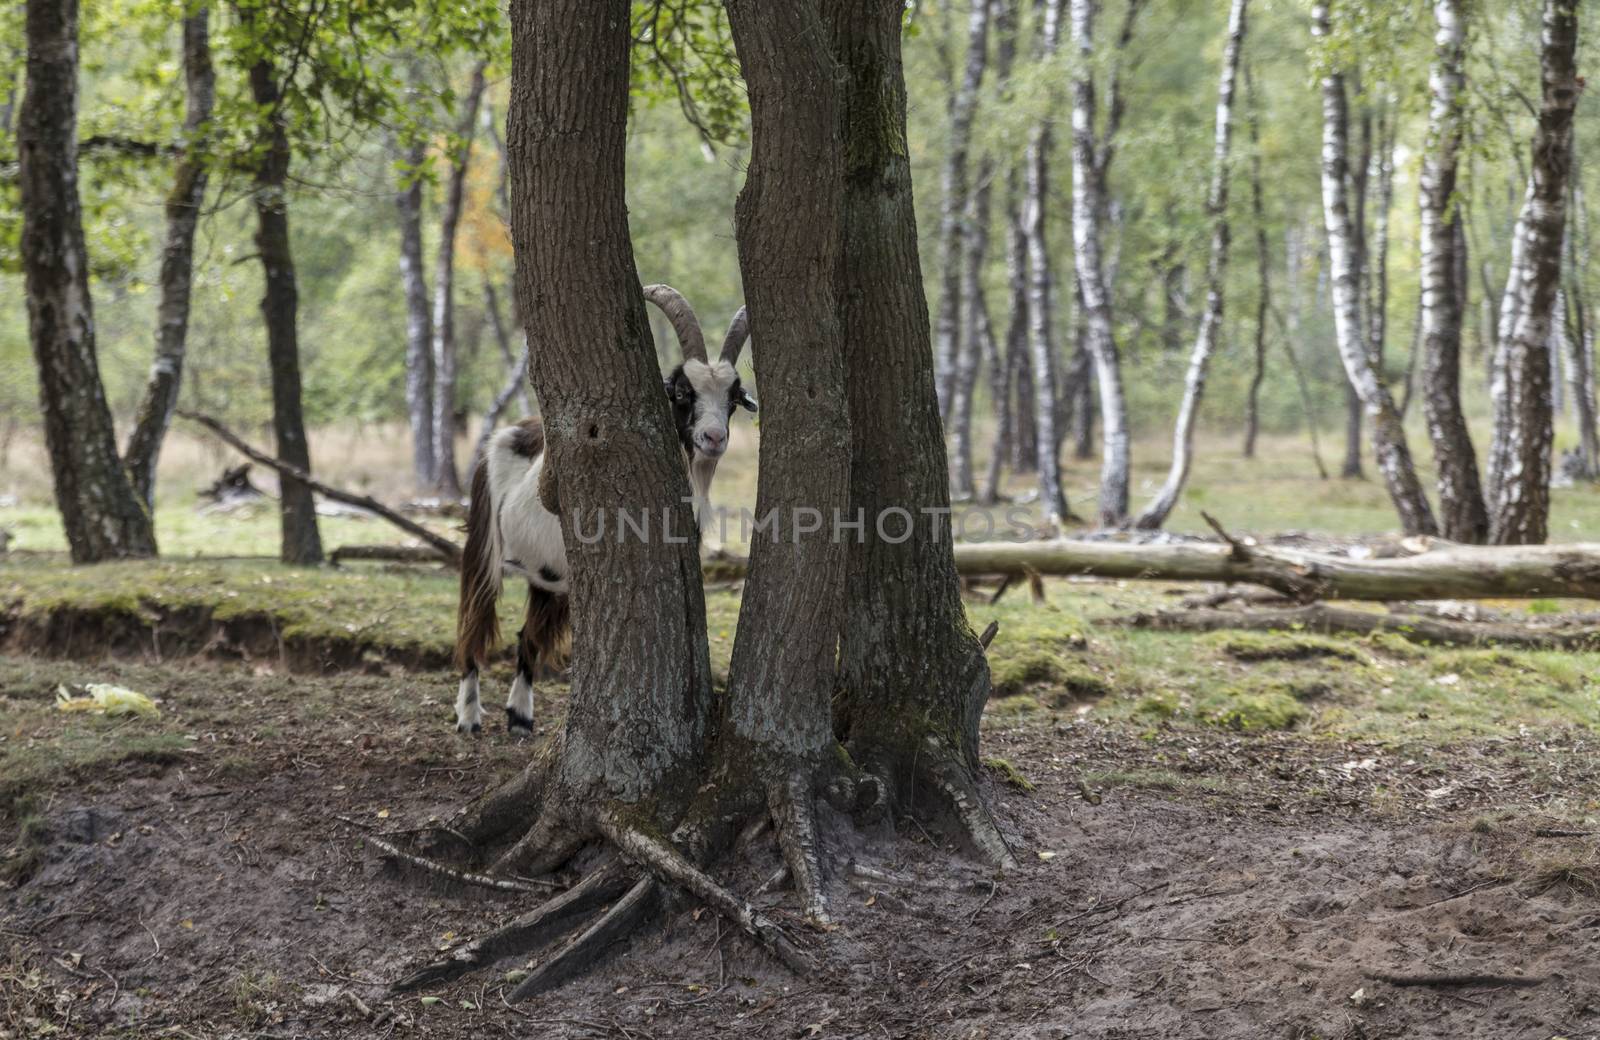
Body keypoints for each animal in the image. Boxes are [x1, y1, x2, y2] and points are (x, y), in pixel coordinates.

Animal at [448, 283, 752, 732]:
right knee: (474, 619)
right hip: (484, 545)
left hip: (546, 575)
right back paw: (469, 715)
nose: (713, 438)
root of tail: (507, 434)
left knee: (528, 635)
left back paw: (520, 716)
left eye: (731, 398)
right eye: (682, 392)